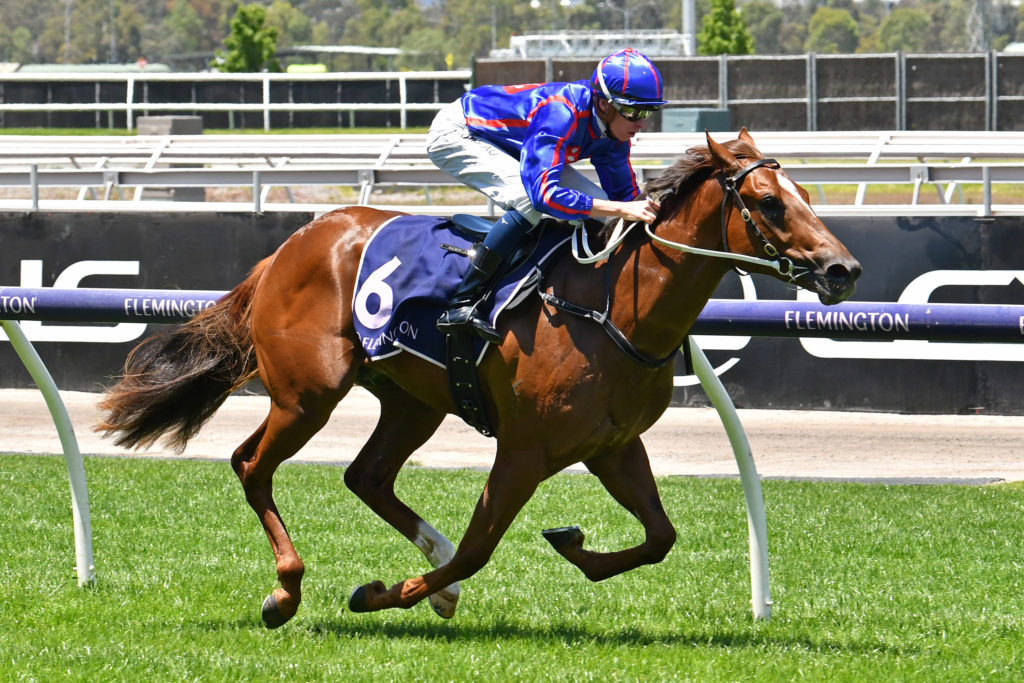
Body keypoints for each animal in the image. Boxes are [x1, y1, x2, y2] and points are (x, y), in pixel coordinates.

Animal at [96, 129, 861, 628]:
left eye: (804, 191)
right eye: (769, 202)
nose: (843, 268)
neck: (612, 306)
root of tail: (293, 243)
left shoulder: (612, 444)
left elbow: (659, 537)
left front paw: (572, 545)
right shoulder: (523, 450)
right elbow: (477, 550)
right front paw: (386, 591)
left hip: (412, 399)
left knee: (366, 475)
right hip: (308, 394)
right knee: (251, 463)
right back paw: (286, 592)